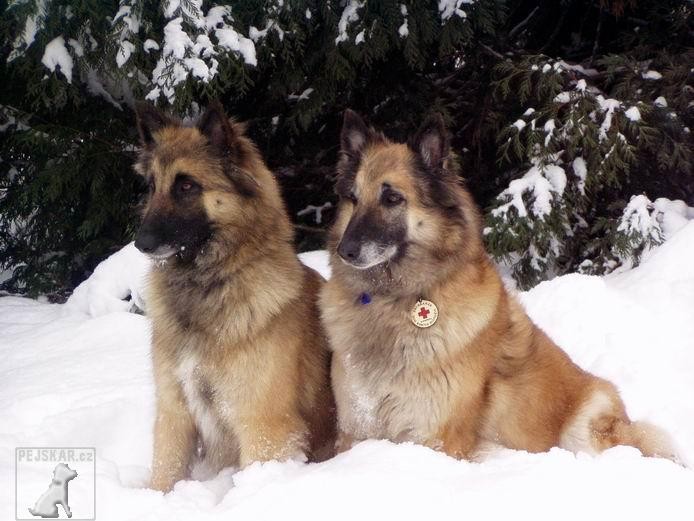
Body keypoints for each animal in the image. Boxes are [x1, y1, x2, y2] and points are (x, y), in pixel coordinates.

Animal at [134, 102, 338, 492]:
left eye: (186, 185)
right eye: (151, 186)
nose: (141, 243)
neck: (208, 285)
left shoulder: (264, 427)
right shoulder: (174, 415)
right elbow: (165, 473)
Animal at [322, 108, 680, 460]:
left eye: (393, 198)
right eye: (353, 198)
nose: (345, 251)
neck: (392, 301)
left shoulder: (437, 438)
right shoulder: (355, 430)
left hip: (587, 425)